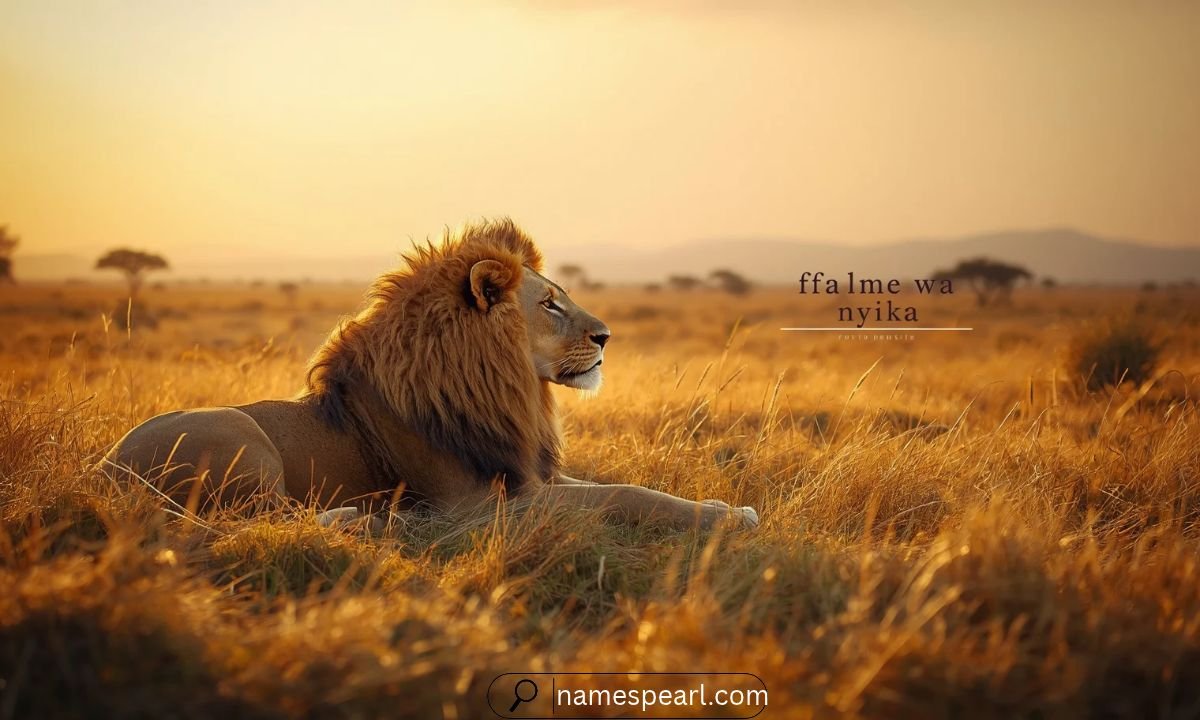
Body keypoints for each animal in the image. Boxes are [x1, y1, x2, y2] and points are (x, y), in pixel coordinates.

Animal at [101, 219, 759, 531]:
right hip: (242, 438)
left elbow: (627, 487)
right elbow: (625, 494)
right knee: (259, 519)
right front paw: (730, 519)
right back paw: (367, 519)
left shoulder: (528, 477)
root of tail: (101, 472)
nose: (606, 337)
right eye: (549, 304)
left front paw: (722, 507)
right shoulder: (480, 505)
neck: (509, 388)